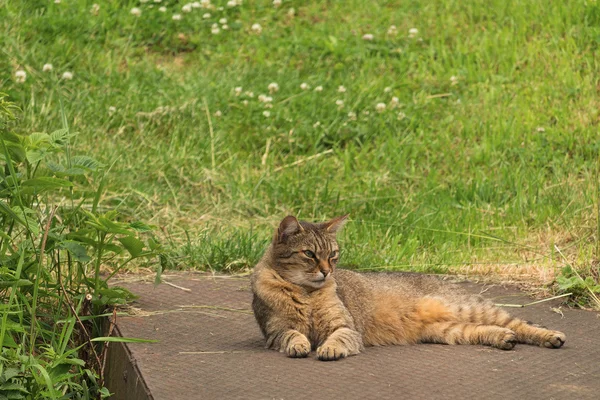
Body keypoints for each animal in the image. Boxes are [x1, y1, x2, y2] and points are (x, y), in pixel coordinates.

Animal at [250, 217, 568, 360]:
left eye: (334, 255)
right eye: (309, 254)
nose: (327, 271)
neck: (306, 293)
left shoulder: (346, 326)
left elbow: (338, 337)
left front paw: (329, 348)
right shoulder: (275, 331)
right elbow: (292, 334)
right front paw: (300, 344)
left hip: (470, 308)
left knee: (521, 324)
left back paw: (551, 336)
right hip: (448, 330)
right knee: (487, 330)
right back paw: (504, 338)